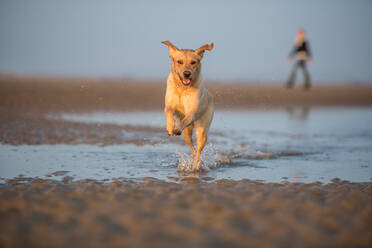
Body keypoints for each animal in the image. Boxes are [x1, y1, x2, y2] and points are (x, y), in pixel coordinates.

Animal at [161, 40, 215, 171]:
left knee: (199, 151)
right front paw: (170, 127)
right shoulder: (169, 104)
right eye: (179, 62)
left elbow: (184, 120)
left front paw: (176, 128)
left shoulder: (192, 112)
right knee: (192, 148)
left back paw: (196, 166)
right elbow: (169, 112)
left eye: (193, 62)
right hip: (187, 133)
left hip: (202, 130)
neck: (182, 88)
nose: (186, 73)